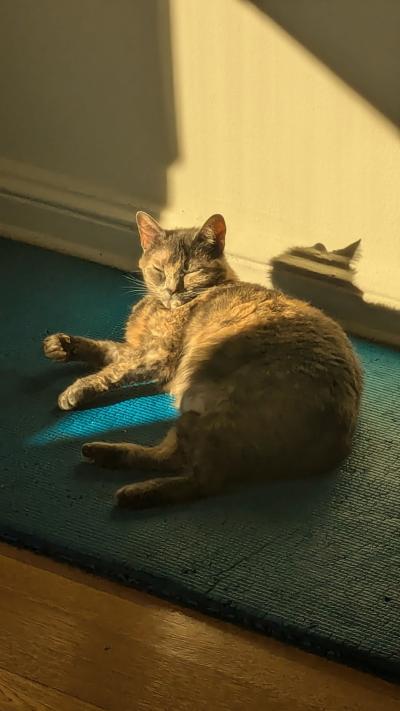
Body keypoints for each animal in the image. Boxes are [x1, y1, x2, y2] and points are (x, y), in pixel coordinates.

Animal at [43, 209, 362, 508]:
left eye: (190, 271)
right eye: (159, 270)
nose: (173, 289)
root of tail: (337, 445)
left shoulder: (157, 357)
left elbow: (113, 371)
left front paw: (75, 389)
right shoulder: (137, 347)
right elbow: (106, 349)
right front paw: (62, 345)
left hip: (210, 417)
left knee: (202, 481)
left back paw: (134, 492)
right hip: (192, 419)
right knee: (171, 460)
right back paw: (103, 454)